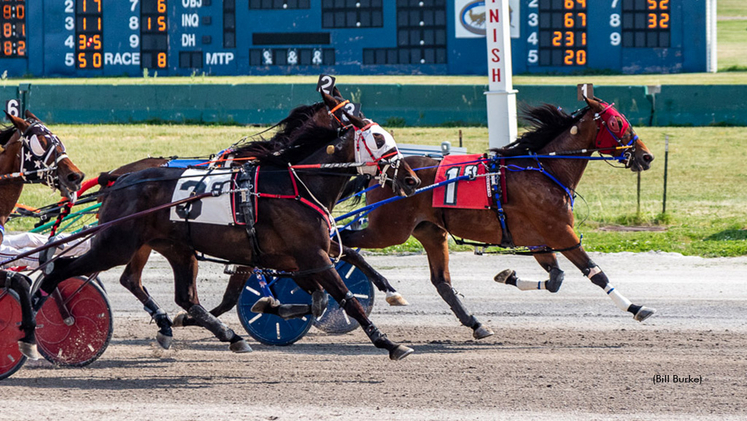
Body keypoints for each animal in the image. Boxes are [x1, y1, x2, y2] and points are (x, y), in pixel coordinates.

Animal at [0, 111, 85, 360]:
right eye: (41, 142)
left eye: (58, 139)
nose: (76, 176)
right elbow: (19, 279)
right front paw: (28, 337)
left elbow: (19, 279)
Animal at [29, 104, 424, 358]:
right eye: (378, 140)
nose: (411, 179)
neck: (292, 183)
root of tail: (119, 178)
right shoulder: (311, 254)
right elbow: (345, 299)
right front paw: (390, 344)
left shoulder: (294, 256)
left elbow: (321, 294)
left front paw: (275, 307)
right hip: (116, 243)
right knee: (59, 270)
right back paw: (39, 321)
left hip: (174, 247)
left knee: (176, 293)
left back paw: (219, 333)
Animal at [338, 96, 656, 338]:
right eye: (617, 123)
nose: (646, 156)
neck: (544, 171)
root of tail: (383, 173)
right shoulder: (560, 232)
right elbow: (595, 273)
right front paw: (636, 308)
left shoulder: (539, 240)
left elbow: (556, 279)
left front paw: (508, 275)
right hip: (389, 230)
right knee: (343, 240)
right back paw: (379, 288)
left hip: (430, 231)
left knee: (442, 282)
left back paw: (476, 324)